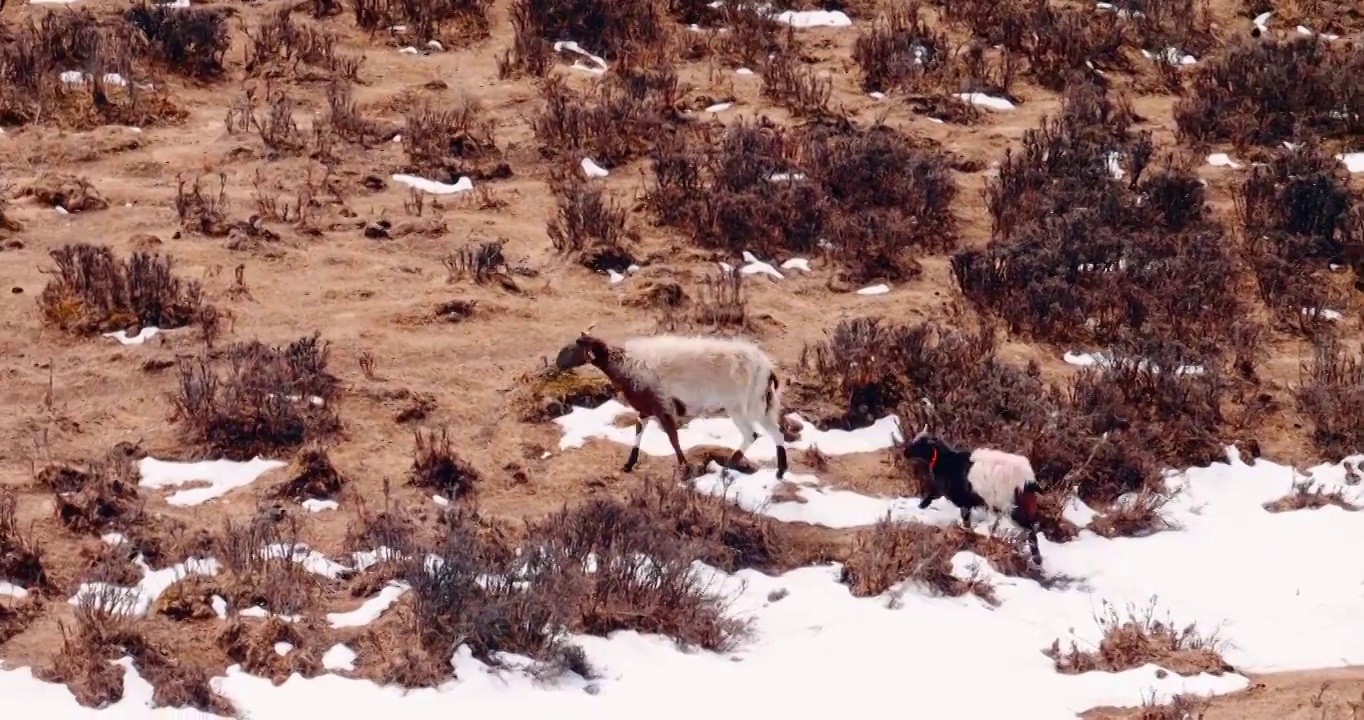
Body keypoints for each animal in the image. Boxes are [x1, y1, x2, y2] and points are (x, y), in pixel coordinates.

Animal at [553, 328, 791, 480]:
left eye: (574, 348)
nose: (557, 361)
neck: (625, 365)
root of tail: (767, 369)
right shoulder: (645, 408)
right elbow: (639, 432)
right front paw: (629, 464)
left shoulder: (662, 405)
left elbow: (673, 438)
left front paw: (684, 467)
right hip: (762, 403)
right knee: (776, 432)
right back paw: (780, 471)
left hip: (739, 406)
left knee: (752, 434)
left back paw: (731, 464)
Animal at [905, 411, 1042, 561]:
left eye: (920, 444)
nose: (906, 453)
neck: (947, 462)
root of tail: (1029, 480)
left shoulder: (959, 497)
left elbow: (958, 514)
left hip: (1014, 506)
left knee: (1030, 529)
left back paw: (1036, 558)